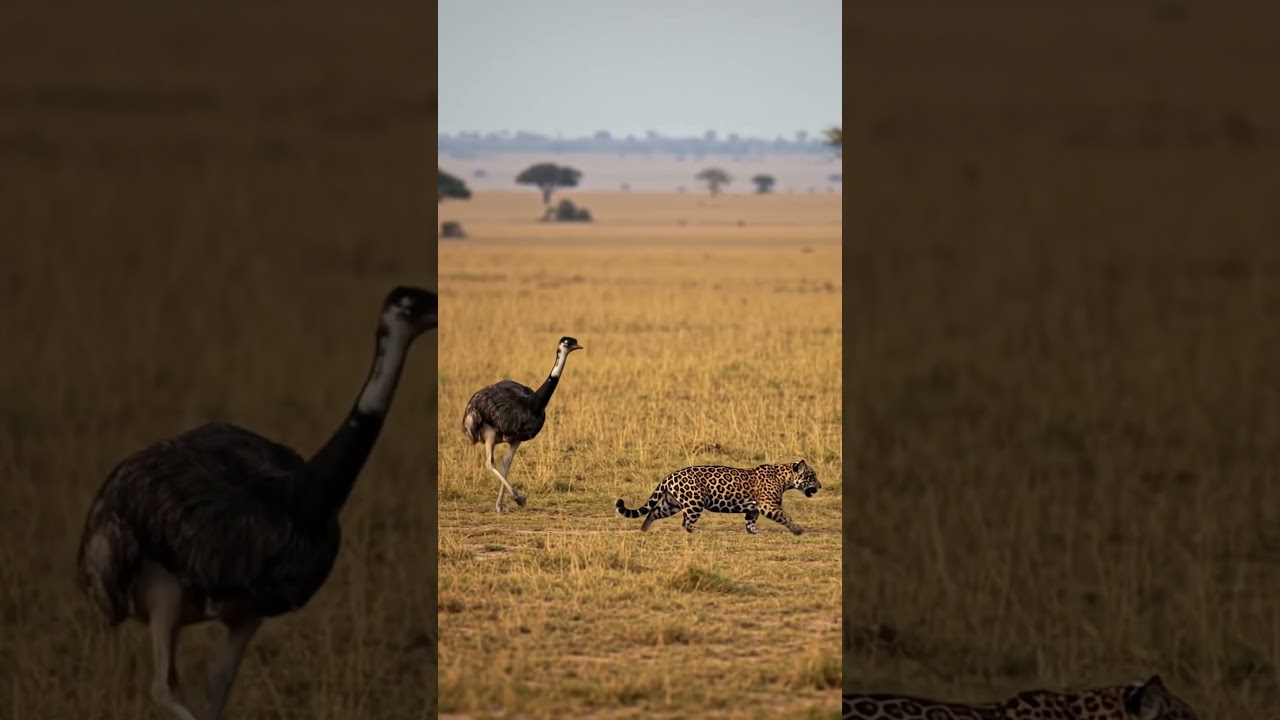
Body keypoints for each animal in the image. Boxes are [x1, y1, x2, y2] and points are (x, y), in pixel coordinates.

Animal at [614, 459, 820, 534]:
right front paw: (797, 529)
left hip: (671, 503)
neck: (784, 478)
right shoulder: (768, 505)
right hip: (695, 502)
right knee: (686, 523)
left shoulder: (754, 508)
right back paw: (698, 532)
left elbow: (750, 521)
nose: (820, 486)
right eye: (811, 476)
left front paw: (754, 532)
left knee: (653, 512)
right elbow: (784, 516)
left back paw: (643, 529)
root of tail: (670, 476)